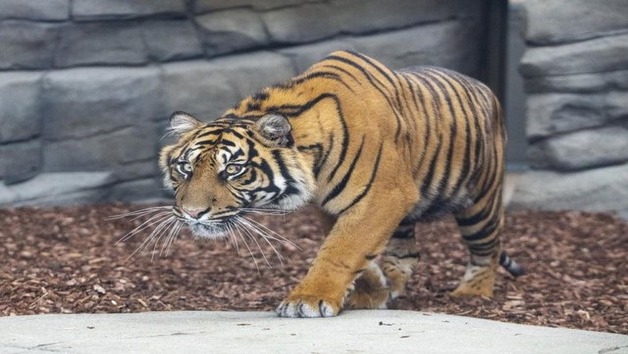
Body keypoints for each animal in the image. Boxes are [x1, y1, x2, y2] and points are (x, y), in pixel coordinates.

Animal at [159, 49, 524, 318]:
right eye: (185, 167)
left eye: (234, 169)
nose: (192, 213)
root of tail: (486, 88)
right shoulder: (332, 204)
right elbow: (348, 247)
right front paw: (372, 291)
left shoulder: (385, 196)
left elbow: (342, 247)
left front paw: (308, 299)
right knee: (408, 253)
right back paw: (393, 287)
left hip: (480, 201)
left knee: (487, 249)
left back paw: (471, 293)